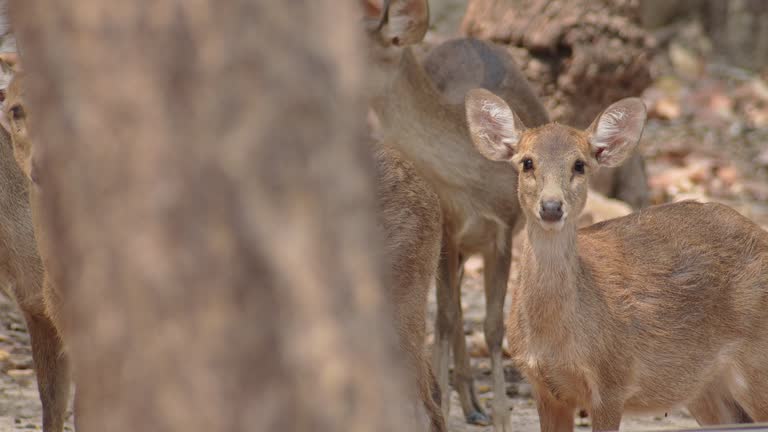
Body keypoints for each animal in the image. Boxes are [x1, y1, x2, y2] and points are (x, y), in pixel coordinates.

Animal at [462, 86, 768, 430]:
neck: (557, 340)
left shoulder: (612, 381)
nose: (551, 206)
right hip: (705, 389)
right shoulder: (544, 388)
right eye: (527, 162)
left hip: (758, 361)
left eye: (579, 164)